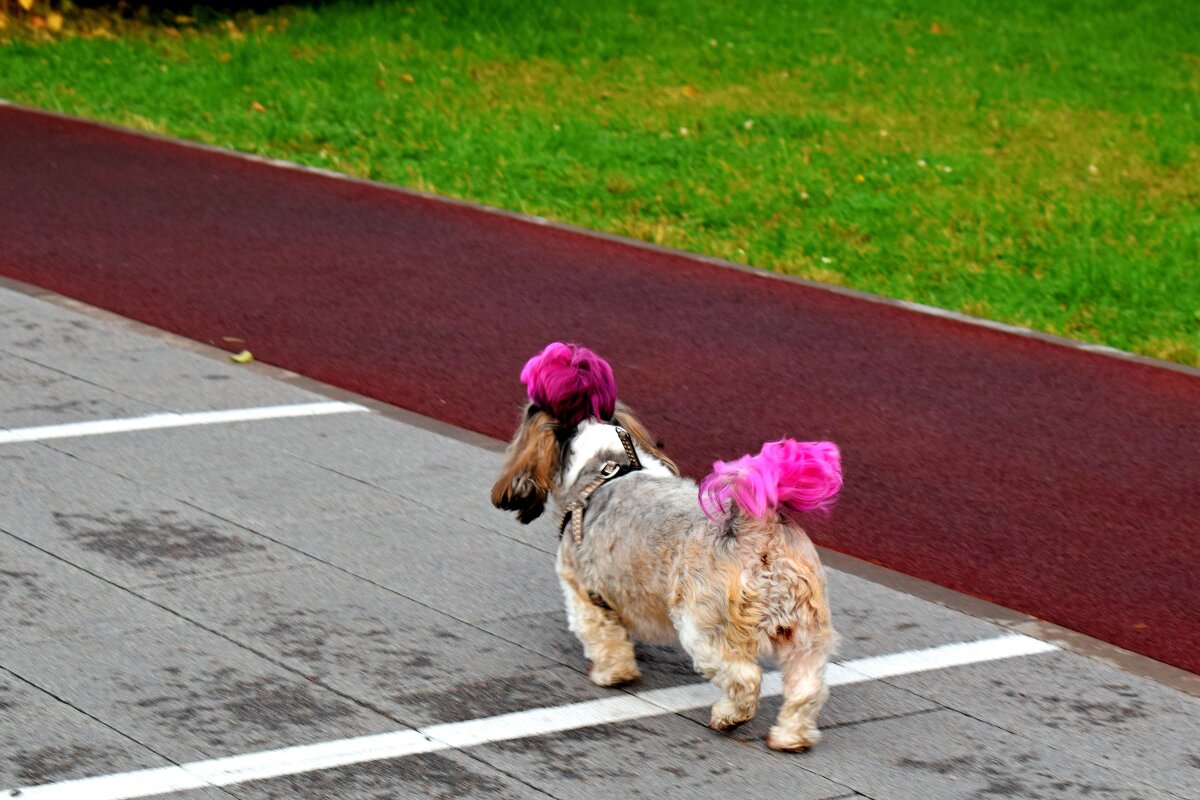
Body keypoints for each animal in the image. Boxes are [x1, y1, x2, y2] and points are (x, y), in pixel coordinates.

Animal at [492, 343, 840, 753]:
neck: (604, 466)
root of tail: (758, 527)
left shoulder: (584, 594)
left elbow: (604, 637)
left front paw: (614, 673)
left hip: (702, 627)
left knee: (743, 676)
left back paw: (729, 716)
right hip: (805, 634)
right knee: (806, 687)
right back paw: (791, 737)